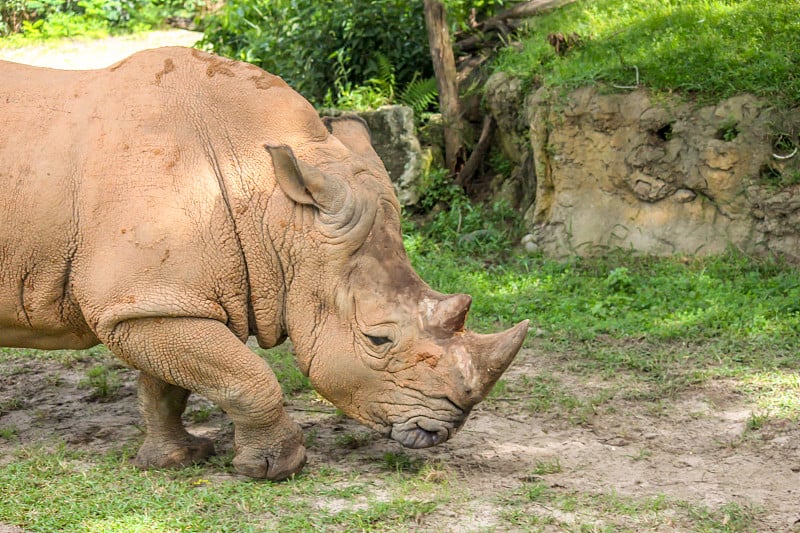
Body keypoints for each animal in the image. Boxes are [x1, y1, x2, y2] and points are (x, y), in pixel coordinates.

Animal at [1, 47, 532, 480]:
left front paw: (176, 459)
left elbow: (168, 383)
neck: (275, 207)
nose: (445, 429)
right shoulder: (140, 299)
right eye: (377, 339)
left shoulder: (161, 297)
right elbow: (246, 377)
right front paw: (277, 468)